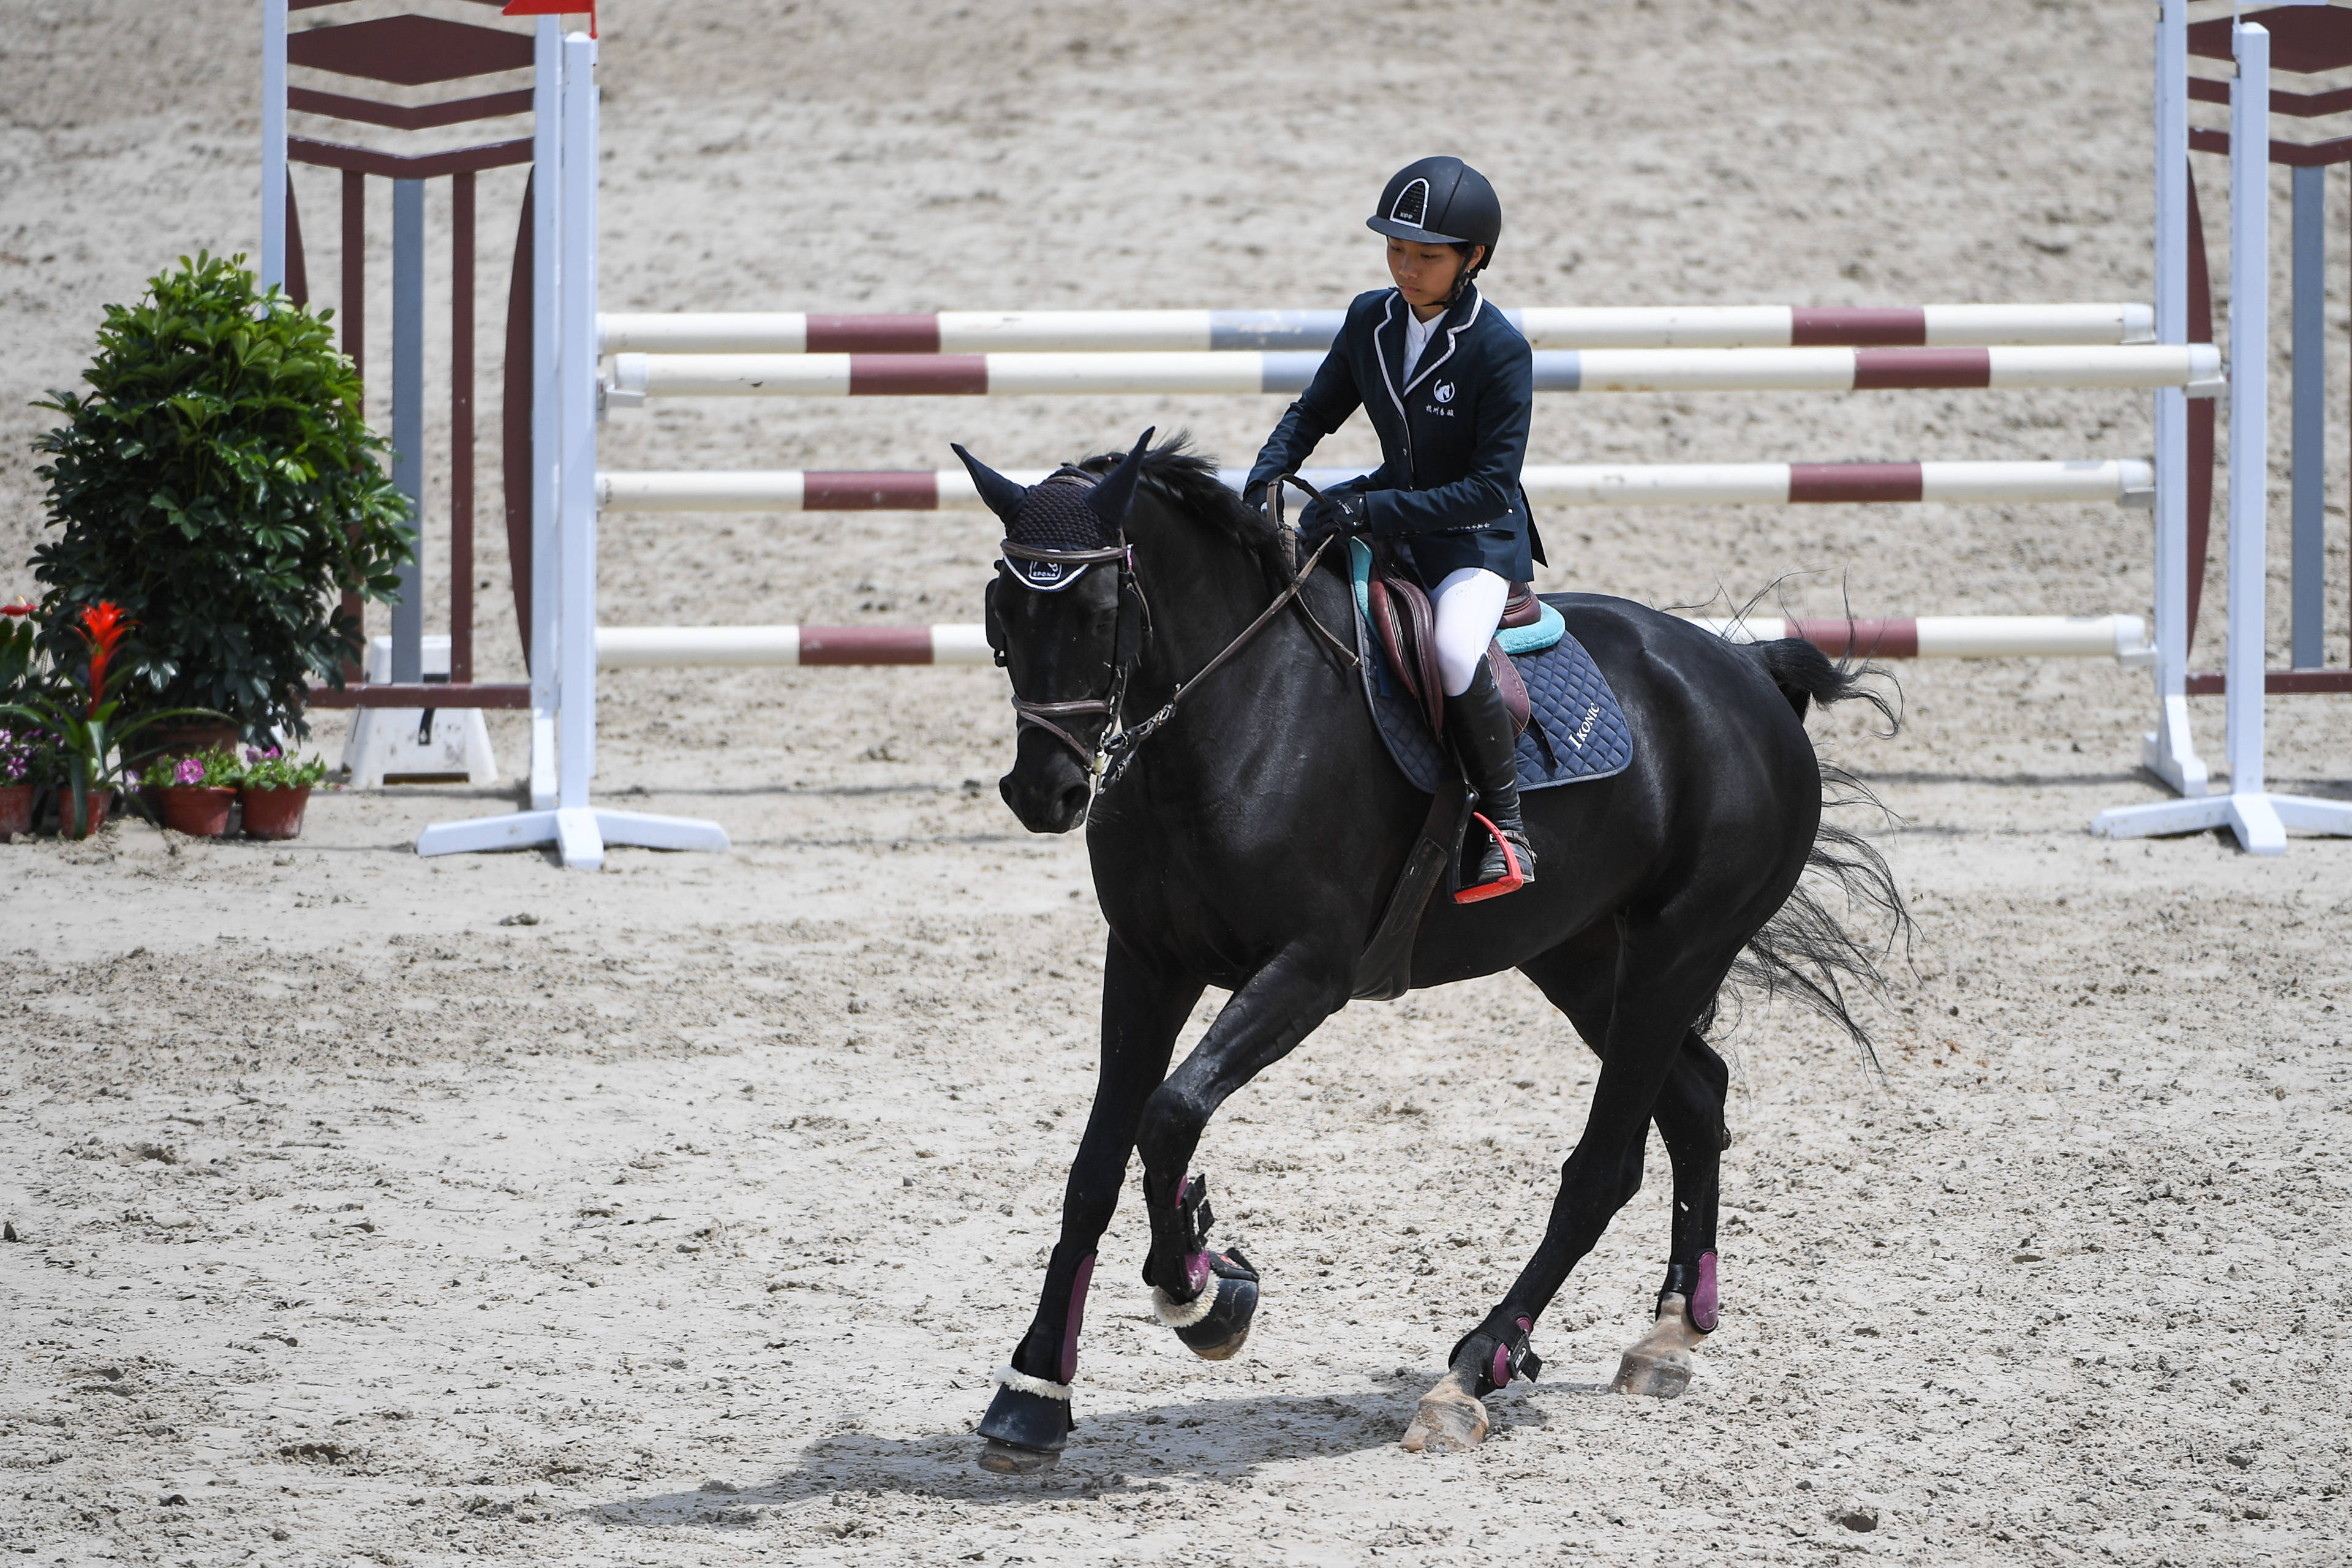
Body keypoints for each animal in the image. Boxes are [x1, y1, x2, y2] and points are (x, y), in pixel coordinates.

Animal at [955, 432, 1891, 1476]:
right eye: (1002, 611)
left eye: (1098, 610)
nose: (1043, 791)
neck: (1231, 714)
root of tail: (1745, 673)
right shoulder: (1149, 962)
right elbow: (1096, 1165)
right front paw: (1033, 1392)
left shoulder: (1309, 971)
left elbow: (1170, 1116)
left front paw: (1206, 1293)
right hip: (1584, 960)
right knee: (1696, 1099)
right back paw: (1671, 1333)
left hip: (1677, 948)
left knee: (1604, 1168)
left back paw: (1473, 1371)